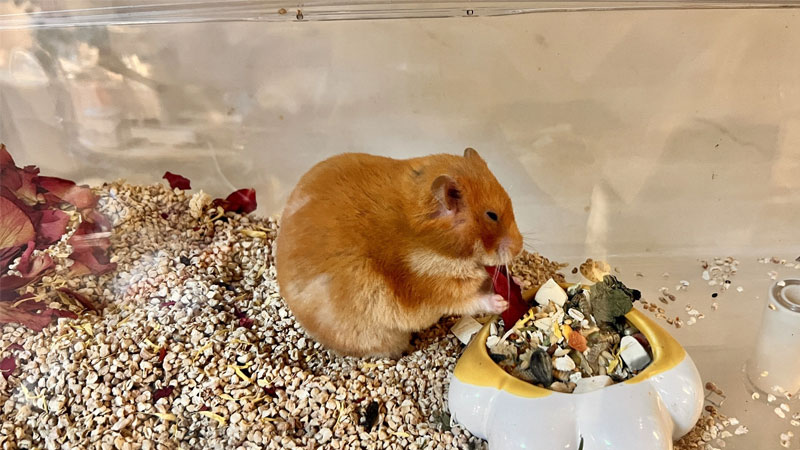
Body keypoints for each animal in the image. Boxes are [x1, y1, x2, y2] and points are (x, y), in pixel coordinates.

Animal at [275, 148, 523, 357]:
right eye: (492, 215)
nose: (520, 248)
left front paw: (518, 282)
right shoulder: (437, 291)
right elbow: (472, 300)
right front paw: (501, 303)